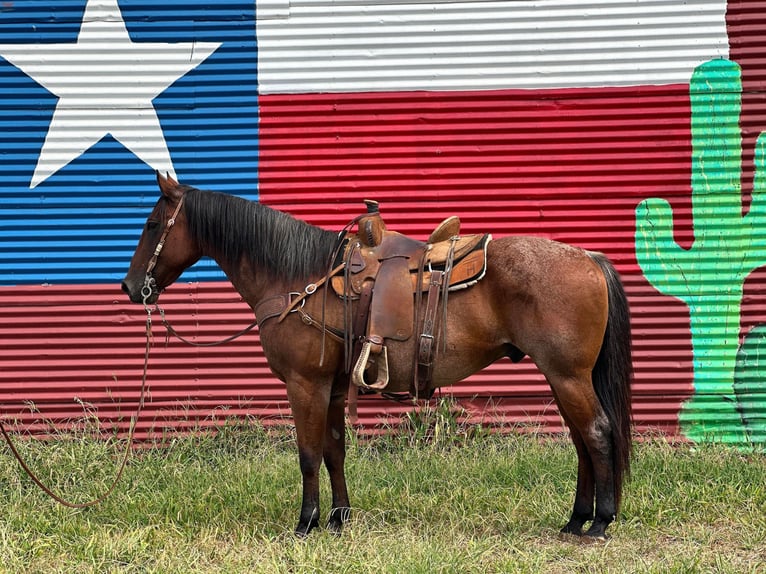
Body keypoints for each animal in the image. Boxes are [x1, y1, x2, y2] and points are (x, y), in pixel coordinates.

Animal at [123, 173, 632, 544]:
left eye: (152, 225)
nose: (130, 287)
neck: (299, 279)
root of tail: (588, 257)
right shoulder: (330, 387)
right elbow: (334, 451)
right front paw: (338, 518)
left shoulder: (304, 384)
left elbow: (308, 454)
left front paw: (306, 523)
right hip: (564, 378)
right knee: (581, 441)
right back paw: (575, 520)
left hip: (567, 375)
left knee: (596, 434)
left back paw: (600, 522)